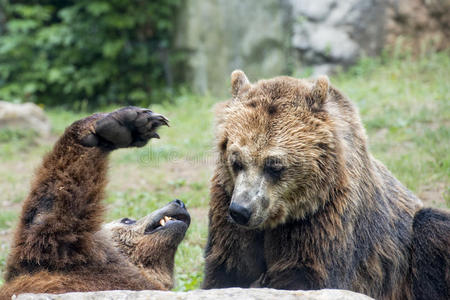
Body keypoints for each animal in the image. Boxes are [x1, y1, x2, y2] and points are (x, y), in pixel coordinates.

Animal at [204, 71, 450, 300]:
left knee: (431, 228)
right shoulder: (226, 207)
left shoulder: (323, 214)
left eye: (274, 166)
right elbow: (226, 269)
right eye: (236, 161)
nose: (241, 210)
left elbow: (307, 276)